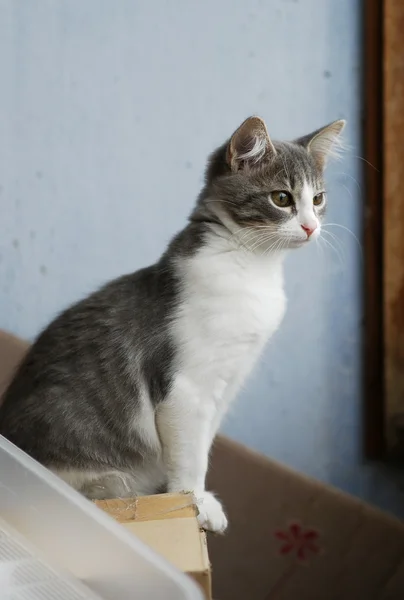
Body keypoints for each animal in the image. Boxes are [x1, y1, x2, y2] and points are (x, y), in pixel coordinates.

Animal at [0, 117, 344, 536]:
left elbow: (203, 445)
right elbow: (190, 455)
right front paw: (192, 502)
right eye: (281, 198)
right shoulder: (186, 387)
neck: (251, 266)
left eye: (318, 199)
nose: (311, 227)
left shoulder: (228, 382)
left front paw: (194, 496)